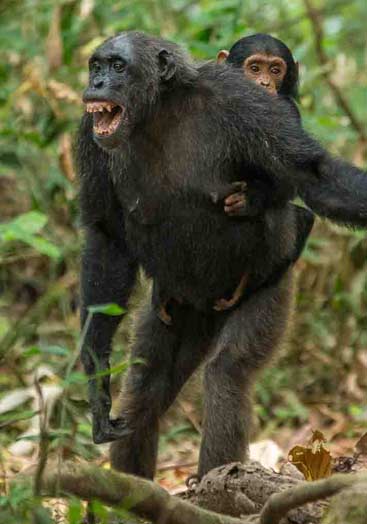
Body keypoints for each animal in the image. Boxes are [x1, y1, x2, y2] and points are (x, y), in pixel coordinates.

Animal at [217, 30, 367, 223]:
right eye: (254, 68)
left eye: (275, 70)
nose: (265, 83)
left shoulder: (290, 111)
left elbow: (297, 176)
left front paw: (251, 197)